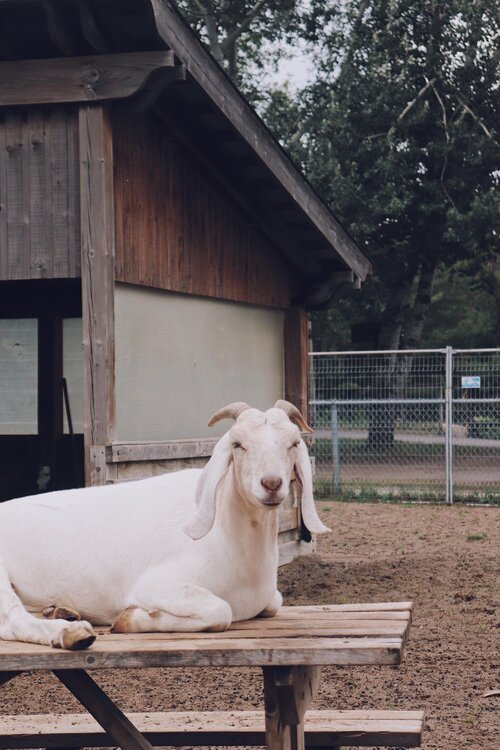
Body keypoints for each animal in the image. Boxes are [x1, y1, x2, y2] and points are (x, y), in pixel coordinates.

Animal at [0, 400, 328, 652]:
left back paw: (62, 613)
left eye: (293, 443)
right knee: (14, 620)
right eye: (238, 444)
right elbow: (221, 610)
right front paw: (128, 620)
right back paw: (72, 633)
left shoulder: (269, 598)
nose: (271, 484)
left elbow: (275, 602)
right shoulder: (156, 587)